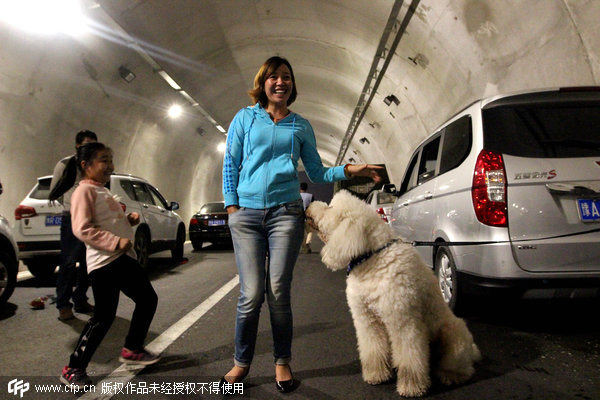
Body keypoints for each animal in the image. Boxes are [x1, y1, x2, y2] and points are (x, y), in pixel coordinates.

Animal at [308, 191, 480, 396]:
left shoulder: (403, 322)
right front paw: (376, 375)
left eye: (331, 207)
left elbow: (410, 357)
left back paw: (451, 376)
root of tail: (472, 350)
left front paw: (412, 387)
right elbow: (373, 349)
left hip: (453, 334)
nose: (307, 207)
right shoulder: (367, 321)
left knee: (462, 367)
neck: (372, 259)